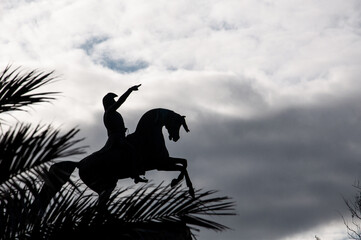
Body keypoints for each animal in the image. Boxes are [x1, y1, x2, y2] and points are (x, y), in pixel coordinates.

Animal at [37, 109, 194, 210]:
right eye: (176, 122)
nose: (176, 137)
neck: (147, 136)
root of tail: (79, 163)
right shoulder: (160, 164)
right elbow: (183, 166)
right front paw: (180, 184)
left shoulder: (163, 163)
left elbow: (184, 162)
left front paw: (181, 184)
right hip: (105, 184)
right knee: (100, 205)